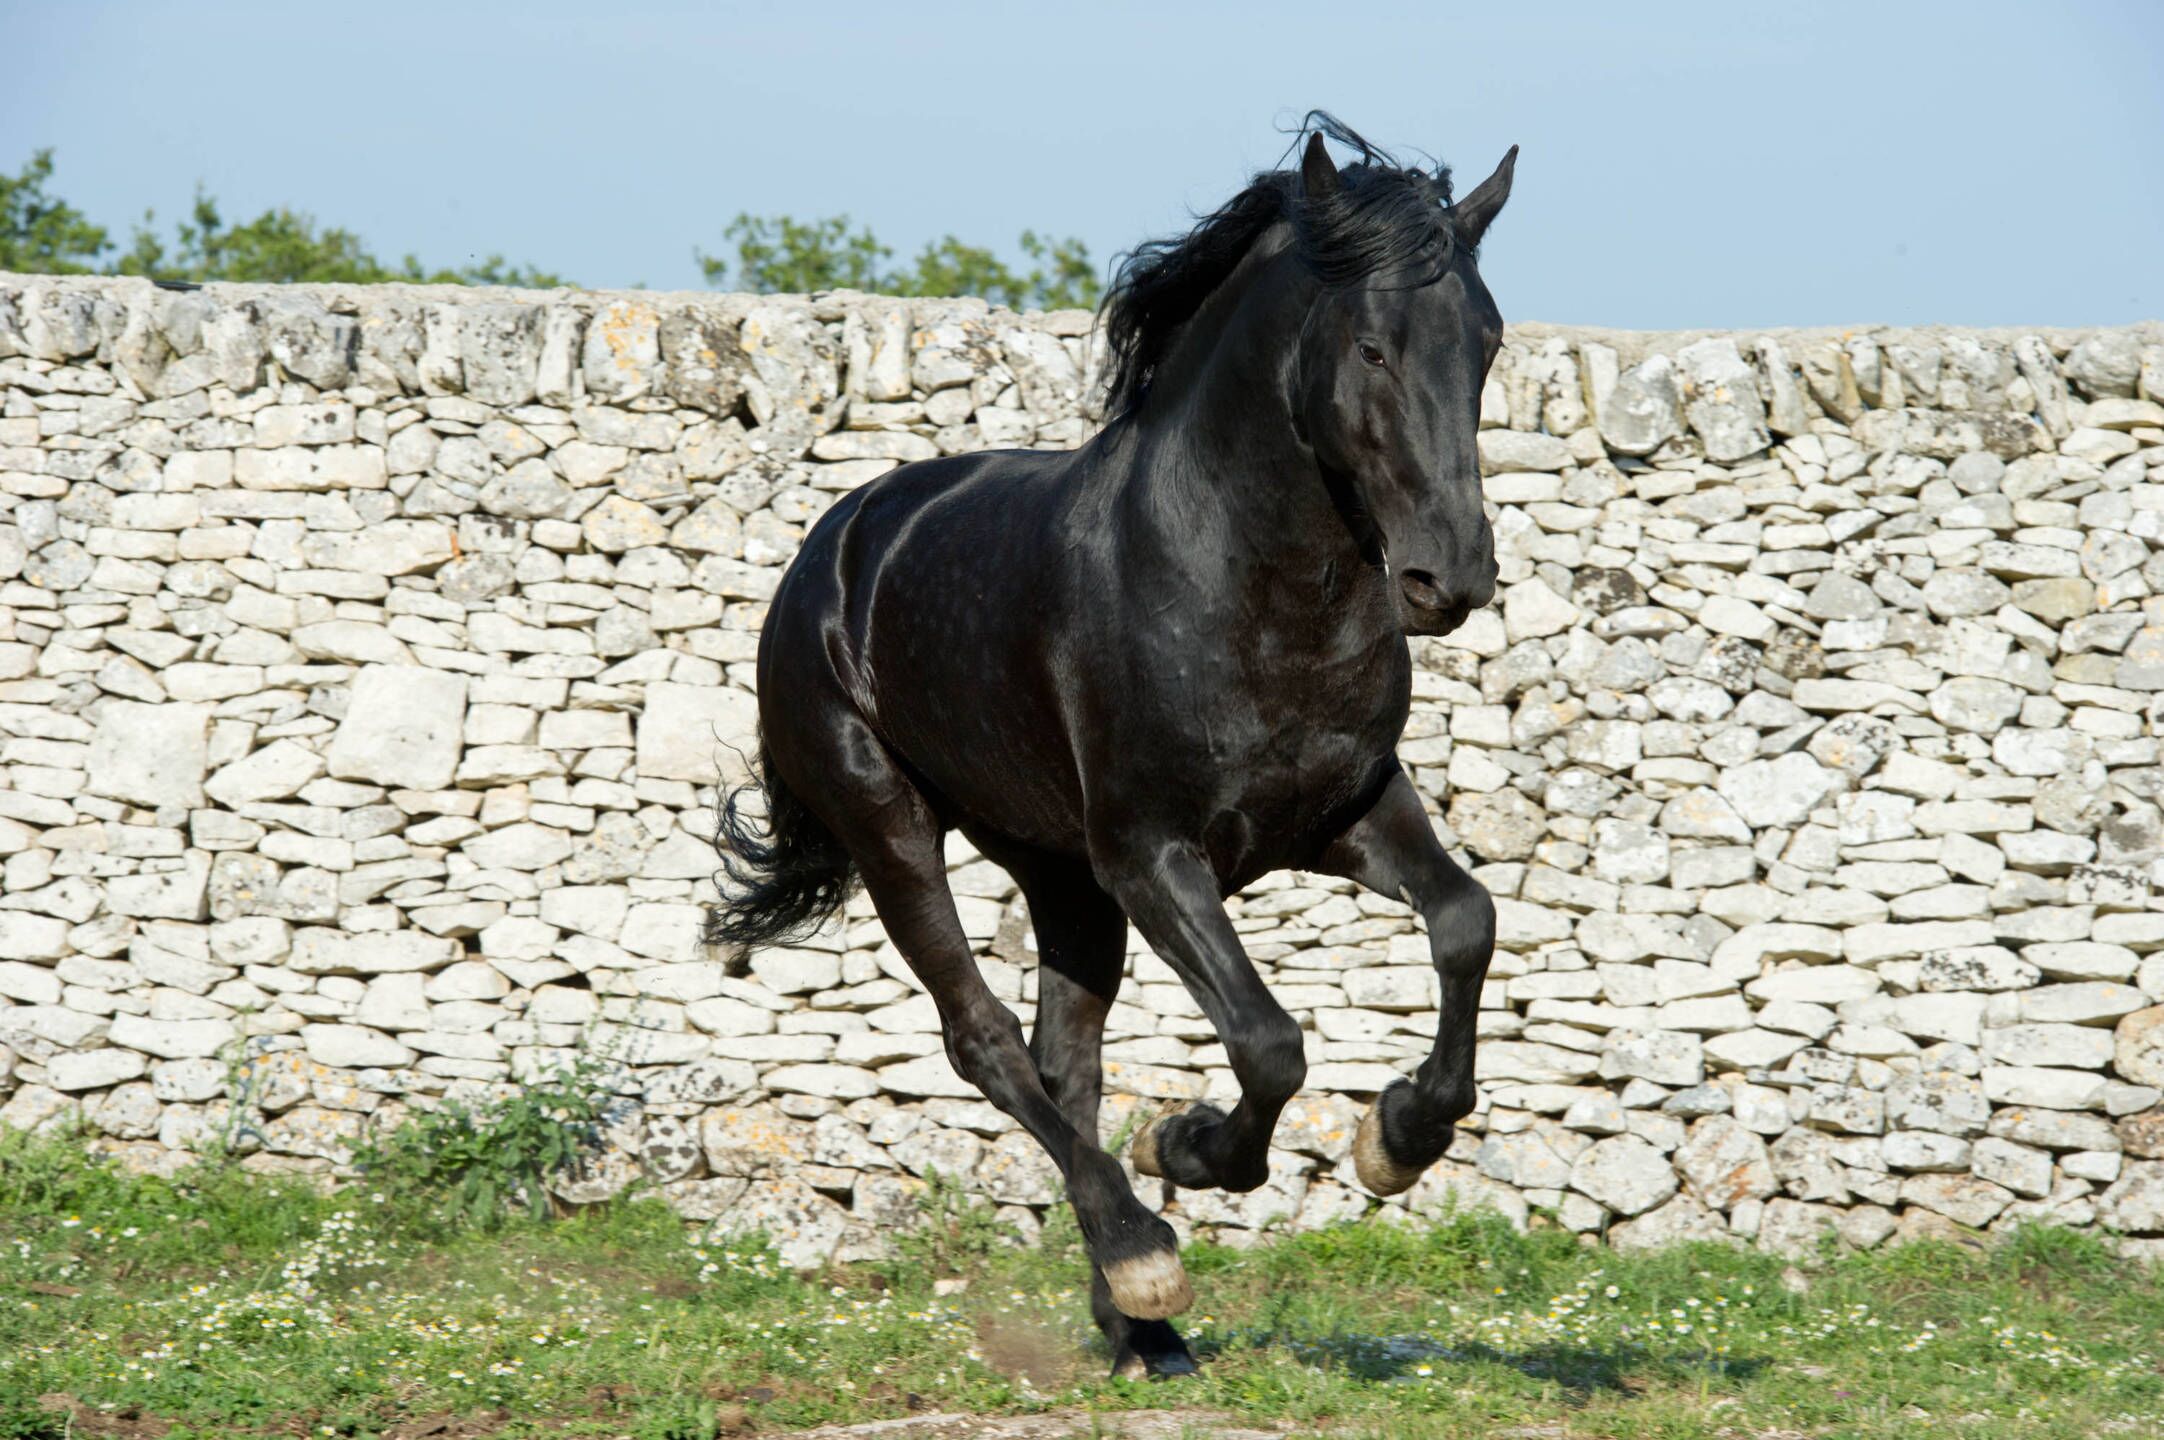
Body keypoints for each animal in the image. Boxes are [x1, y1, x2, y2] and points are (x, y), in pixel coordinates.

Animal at [709, 113, 1516, 1380]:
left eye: (1484, 342)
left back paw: (1142, 1331)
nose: (1450, 578)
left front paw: (1398, 1137)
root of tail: (828, 552)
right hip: (894, 830)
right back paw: (1142, 1258)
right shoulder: (1153, 854)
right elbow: (1269, 1043)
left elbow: (1465, 921)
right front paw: (1186, 1150)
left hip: (1059, 875)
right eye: (1373, 348)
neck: (1244, 586)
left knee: (1063, 1061)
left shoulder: (1345, 813)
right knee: (986, 1042)